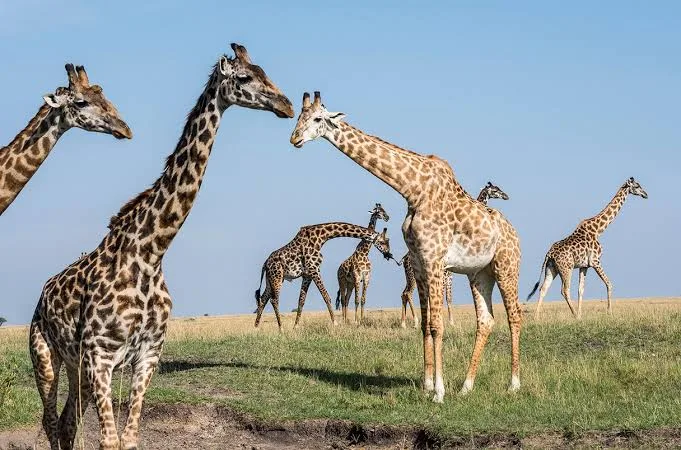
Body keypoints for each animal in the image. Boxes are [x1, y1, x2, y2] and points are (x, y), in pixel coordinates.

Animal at [29, 44, 293, 450]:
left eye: (266, 72)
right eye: (245, 77)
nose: (287, 105)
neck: (151, 252)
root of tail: (42, 296)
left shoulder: (147, 355)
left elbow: (129, 438)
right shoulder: (101, 356)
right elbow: (110, 441)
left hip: (77, 367)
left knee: (68, 421)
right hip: (46, 355)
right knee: (50, 421)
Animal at [254, 222, 393, 330]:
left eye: (388, 241)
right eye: (382, 242)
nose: (388, 254)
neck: (321, 237)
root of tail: (265, 263)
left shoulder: (307, 275)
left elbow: (301, 300)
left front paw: (296, 326)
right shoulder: (314, 270)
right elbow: (326, 296)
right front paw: (335, 323)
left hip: (271, 279)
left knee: (263, 298)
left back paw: (256, 327)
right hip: (277, 277)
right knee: (274, 299)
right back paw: (281, 328)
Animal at [399, 182, 510, 329]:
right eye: (495, 190)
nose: (506, 196)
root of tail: (404, 259)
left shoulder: (447, 275)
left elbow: (443, 298)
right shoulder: (448, 275)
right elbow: (447, 298)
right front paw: (450, 322)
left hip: (410, 276)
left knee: (404, 293)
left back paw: (404, 323)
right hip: (414, 275)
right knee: (408, 293)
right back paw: (415, 322)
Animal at [527, 177, 647, 319]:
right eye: (637, 186)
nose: (645, 194)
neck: (598, 230)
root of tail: (549, 254)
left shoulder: (584, 266)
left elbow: (581, 290)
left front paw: (581, 314)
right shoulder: (596, 261)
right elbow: (609, 284)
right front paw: (609, 312)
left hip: (551, 268)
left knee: (543, 288)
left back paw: (536, 317)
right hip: (566, 268)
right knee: (564, 290)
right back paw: (574, 315)